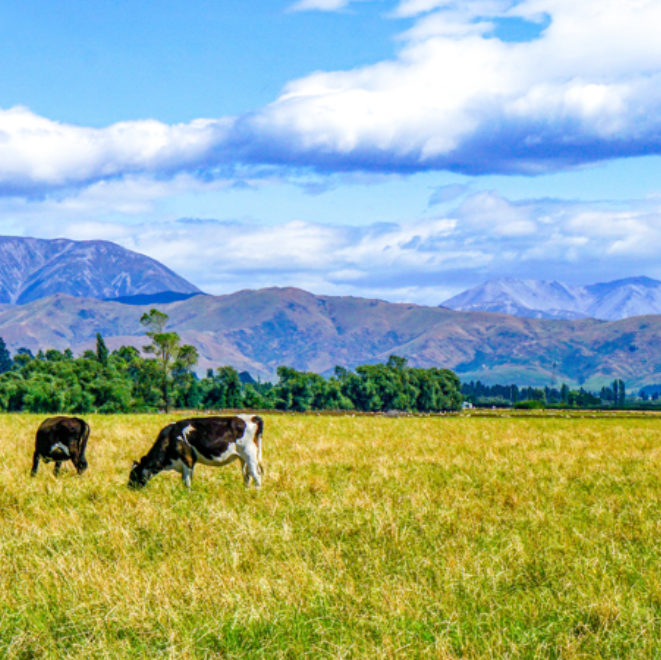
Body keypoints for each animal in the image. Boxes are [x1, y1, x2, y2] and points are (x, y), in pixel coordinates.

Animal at [127, 412, 264, 490]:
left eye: (134, 474)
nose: (129, 488)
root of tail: (253, 417)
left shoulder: (187, 459)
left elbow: (187, 481)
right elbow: (185, 480)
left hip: (250, 455)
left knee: (256, 475)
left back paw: (256, 494)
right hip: (243, 458)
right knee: (247, 476)